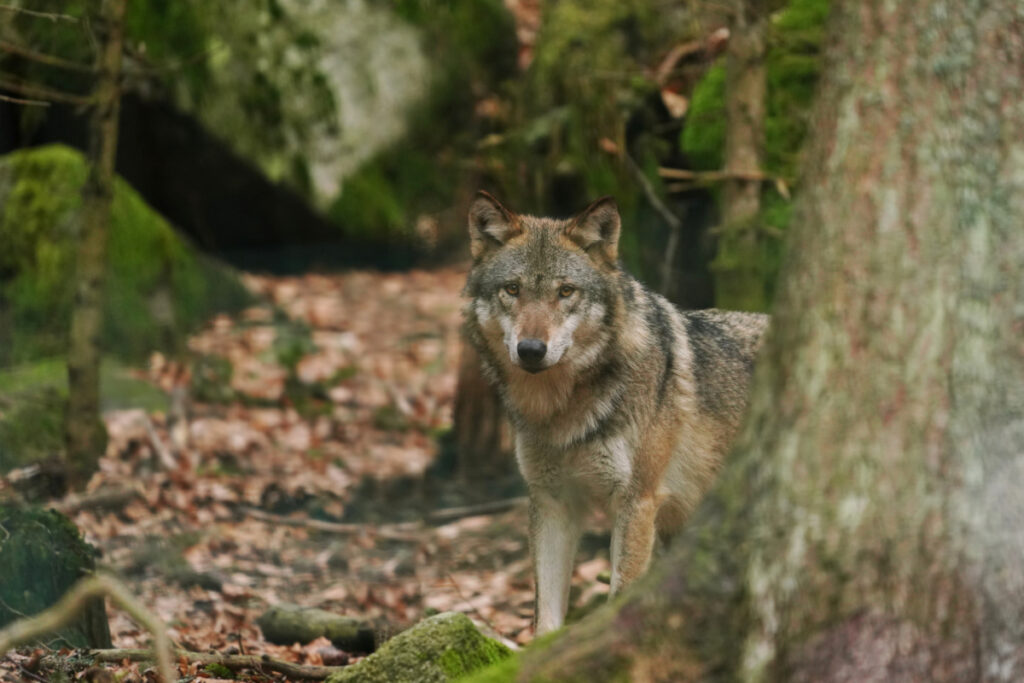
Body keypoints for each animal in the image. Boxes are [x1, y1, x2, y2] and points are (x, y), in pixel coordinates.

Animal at [463, 191, 768, 634]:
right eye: (512, 289)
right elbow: (545, 618)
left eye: (566, 291)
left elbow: (619, 598)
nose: (531, 350)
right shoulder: (552, 502)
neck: (562, 412)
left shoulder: (636, 503)